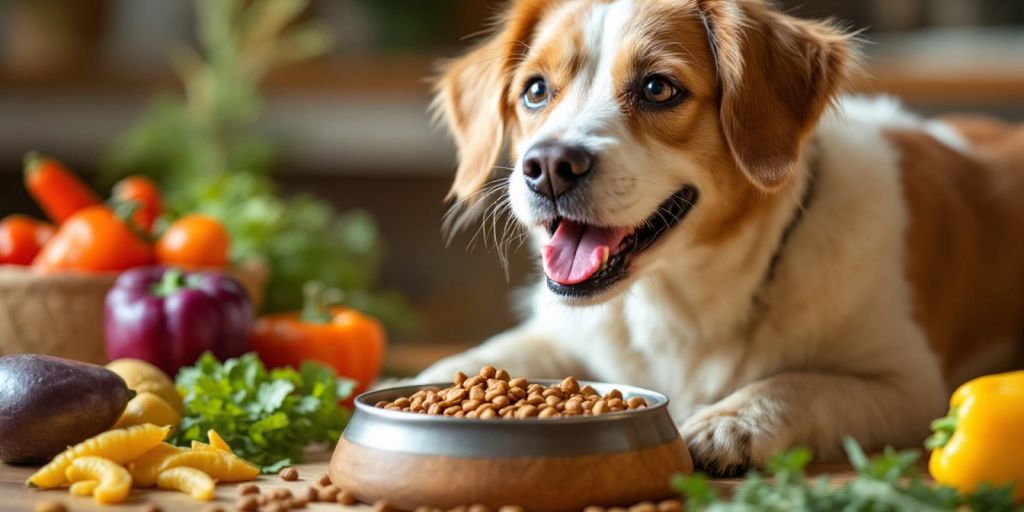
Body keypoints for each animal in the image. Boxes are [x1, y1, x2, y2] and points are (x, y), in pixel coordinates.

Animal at [413, 0, 1024, 473]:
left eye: (658, 88)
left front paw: (732, 421)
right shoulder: (561, 332)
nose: (548, 167)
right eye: (536, 90)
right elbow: (486, 353)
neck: (680, 301)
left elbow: (800, 382)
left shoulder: (911, 386)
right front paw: (426, 385)